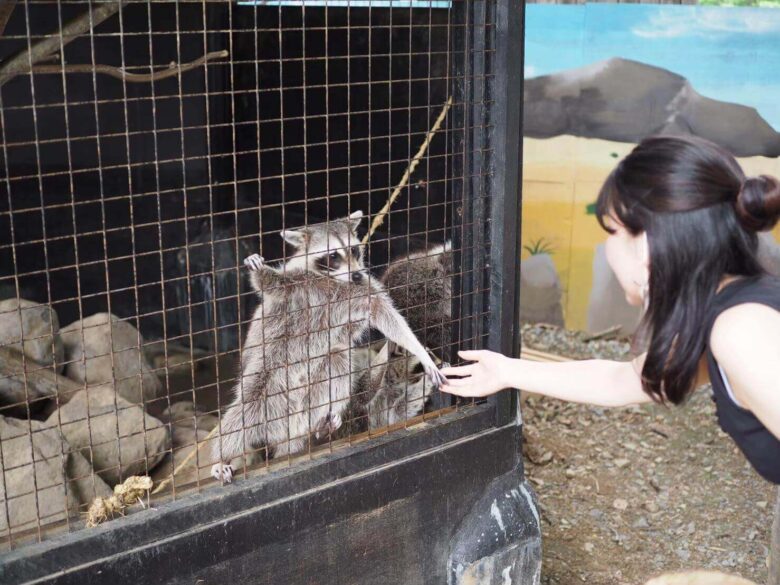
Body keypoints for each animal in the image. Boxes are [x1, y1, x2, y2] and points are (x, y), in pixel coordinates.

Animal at [209, 210, 444, 480]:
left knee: (338, 359)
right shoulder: (301, 283)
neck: (337, 281)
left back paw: (321, 424)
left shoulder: (362, 290)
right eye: (333, 256)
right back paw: (222, 455)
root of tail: (290, 426)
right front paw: (261, 271)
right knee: (241, 415)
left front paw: (415, 348)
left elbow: (387, 315)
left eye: (354, 250)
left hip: (317, 389)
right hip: (268, 376)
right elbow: (273, 284)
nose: (356, 275)